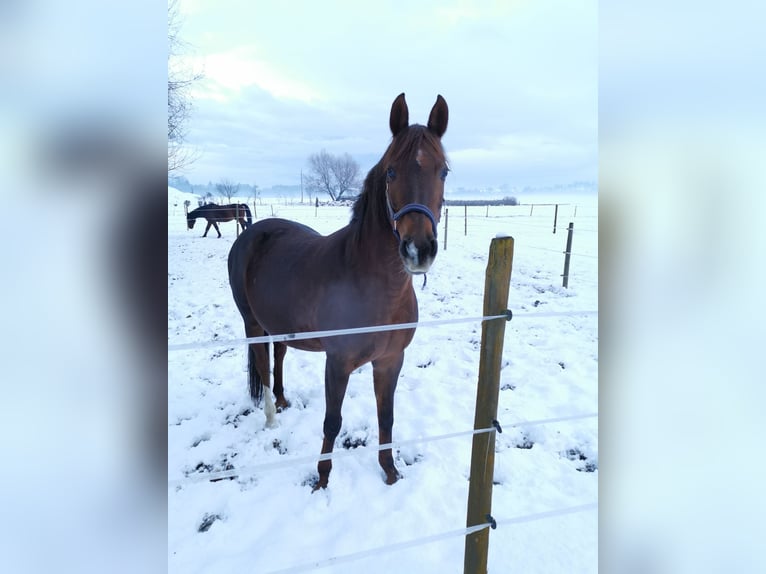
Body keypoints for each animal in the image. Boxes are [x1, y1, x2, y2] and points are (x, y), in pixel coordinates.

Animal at [228, 93, 449, 489]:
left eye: (443, 171)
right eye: (391, 172)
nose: (418, 250)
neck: (373, 286)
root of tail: (250, 234)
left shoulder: (390, 360)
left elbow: (386, 417)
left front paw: (390, 470)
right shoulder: (338, 363)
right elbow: (332, 422)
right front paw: (322, 478)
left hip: (280, 325)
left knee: (278, 356)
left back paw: (282, 400)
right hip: (252, 323)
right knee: (262, 365)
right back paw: (271, 417)